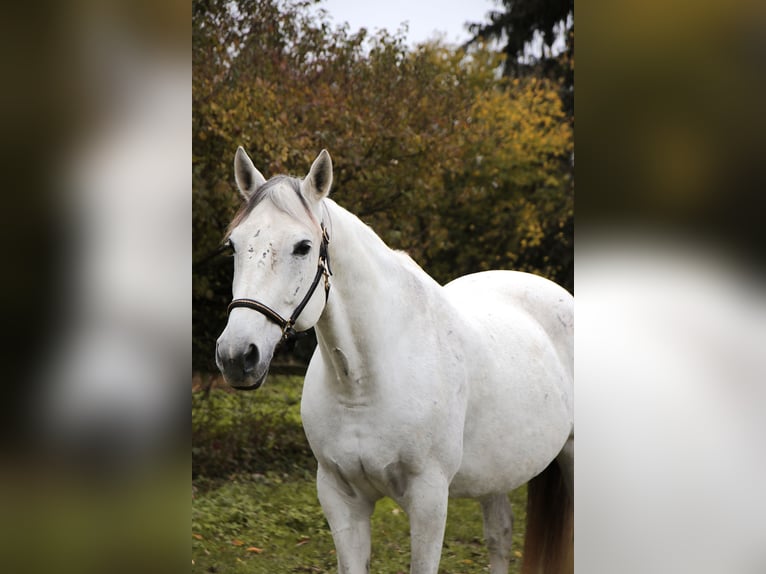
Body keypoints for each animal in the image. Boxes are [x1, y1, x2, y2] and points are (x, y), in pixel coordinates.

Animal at [218, 148, 576, 574]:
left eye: (303, 246)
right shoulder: (340, 499)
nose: (237, 355)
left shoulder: (429, 499)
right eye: (233, 246)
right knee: (500, 535)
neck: (362, 382)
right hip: (497, 473)